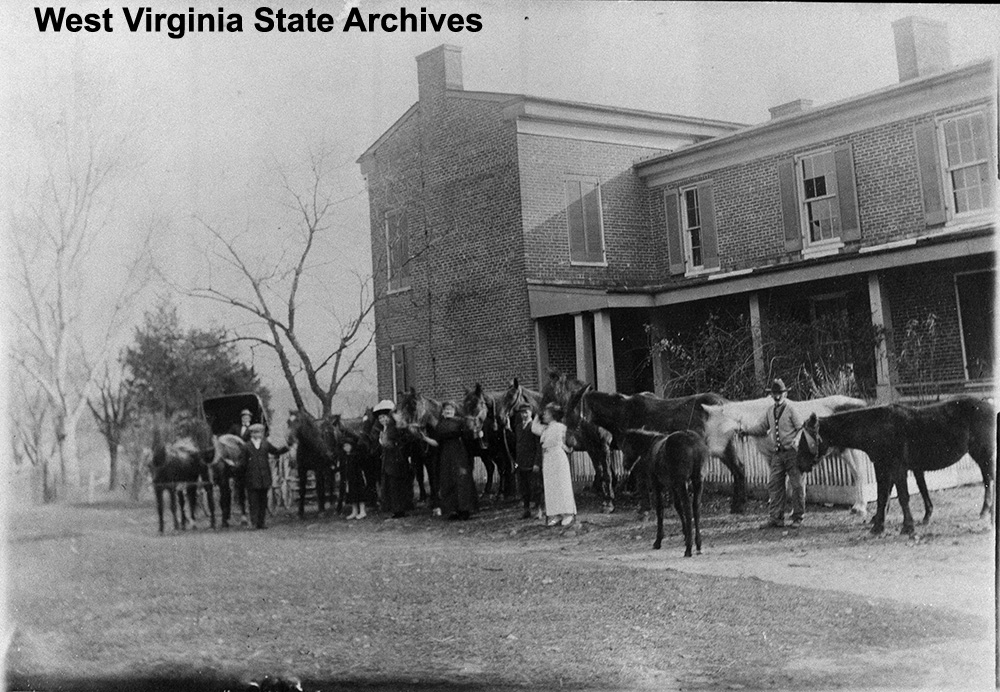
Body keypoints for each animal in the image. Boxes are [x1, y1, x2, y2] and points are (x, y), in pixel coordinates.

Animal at [568, 384, 748, 512]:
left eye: (573, 406)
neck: (623, 413)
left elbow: (636, 480)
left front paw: (644, 509)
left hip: (724, 448)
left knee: (738, 469)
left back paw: (738, 506)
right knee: (738, 470)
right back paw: (737, 506)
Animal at [620, 428, 708, 556]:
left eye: (626, 447)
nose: (625, 465)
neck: (650, 446)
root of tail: (691, 439)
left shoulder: (657, 485)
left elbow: (660, 509)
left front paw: (658, 540)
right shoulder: (673, 486)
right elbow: (678, 507)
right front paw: (685, 534)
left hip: (682, 483)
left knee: (688, 508)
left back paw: (689, 548)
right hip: (697, 481)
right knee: (696, 508)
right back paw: (698, 544)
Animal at [796, 394, 1000, 536]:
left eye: (805, 440)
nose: (799, 465)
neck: (878, 427)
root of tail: (989, 405)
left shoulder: (897, 468)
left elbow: (902, 497)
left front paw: (907, 527)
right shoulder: (882, 468)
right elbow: (882, 496)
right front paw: (878, 526)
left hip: (985, 454)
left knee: (989, 480)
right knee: (987, 481)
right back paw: (985, 512)